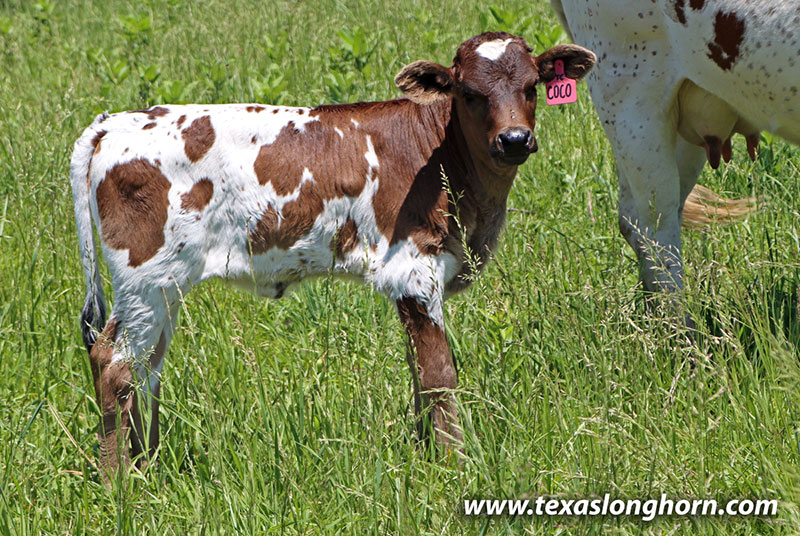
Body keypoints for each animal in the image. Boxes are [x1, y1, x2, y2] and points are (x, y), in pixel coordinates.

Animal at [71, 32, 596, 481]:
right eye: (469, 93)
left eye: (532, 87)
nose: (514, 140)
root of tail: (117, 121)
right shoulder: (413, 270)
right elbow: (440, 374)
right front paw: (454, 466)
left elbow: (418, 372)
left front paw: (428, 456)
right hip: (145, 278)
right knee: (115, 364)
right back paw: (118, 484)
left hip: (165, 286)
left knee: (146, 368)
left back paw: (146, 467)